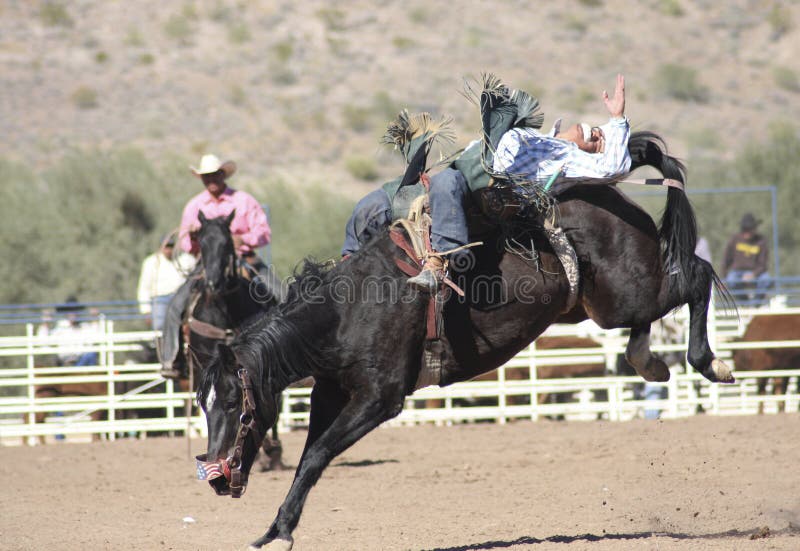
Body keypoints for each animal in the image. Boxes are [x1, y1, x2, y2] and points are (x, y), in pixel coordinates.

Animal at [195, 132, 736, 548]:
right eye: (201, 402)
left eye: (232, 402)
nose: (215, 475)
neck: (347, 309)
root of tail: (604, 192)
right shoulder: (331, 392)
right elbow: (309, 458)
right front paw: (275, 530)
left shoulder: (379, 399)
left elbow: (318, 455)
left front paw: (280, 531)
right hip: (604, 306)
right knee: (654, 311)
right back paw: (649, 360)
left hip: (632, 290)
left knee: (695, 276)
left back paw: (711, 363)